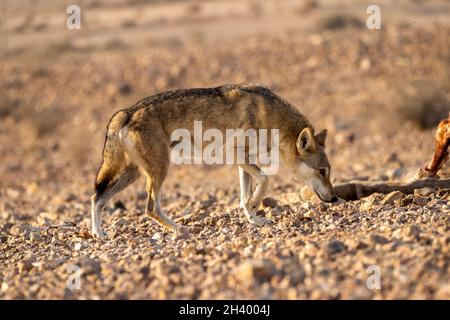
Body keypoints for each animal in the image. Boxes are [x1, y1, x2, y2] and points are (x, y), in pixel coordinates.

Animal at [90, 83, 338, 238]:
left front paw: (255, 219)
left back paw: (98, 234)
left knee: (97, 198)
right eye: (322, 171)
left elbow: (244, 196)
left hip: (134, 174)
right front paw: (256, 204)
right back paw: (179, 229)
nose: (335, 198)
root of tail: (127, 111)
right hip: (159, 171)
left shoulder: (244, 160)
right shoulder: (236, 154)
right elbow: (265, 180)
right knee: (150, 209)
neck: (272, 118)